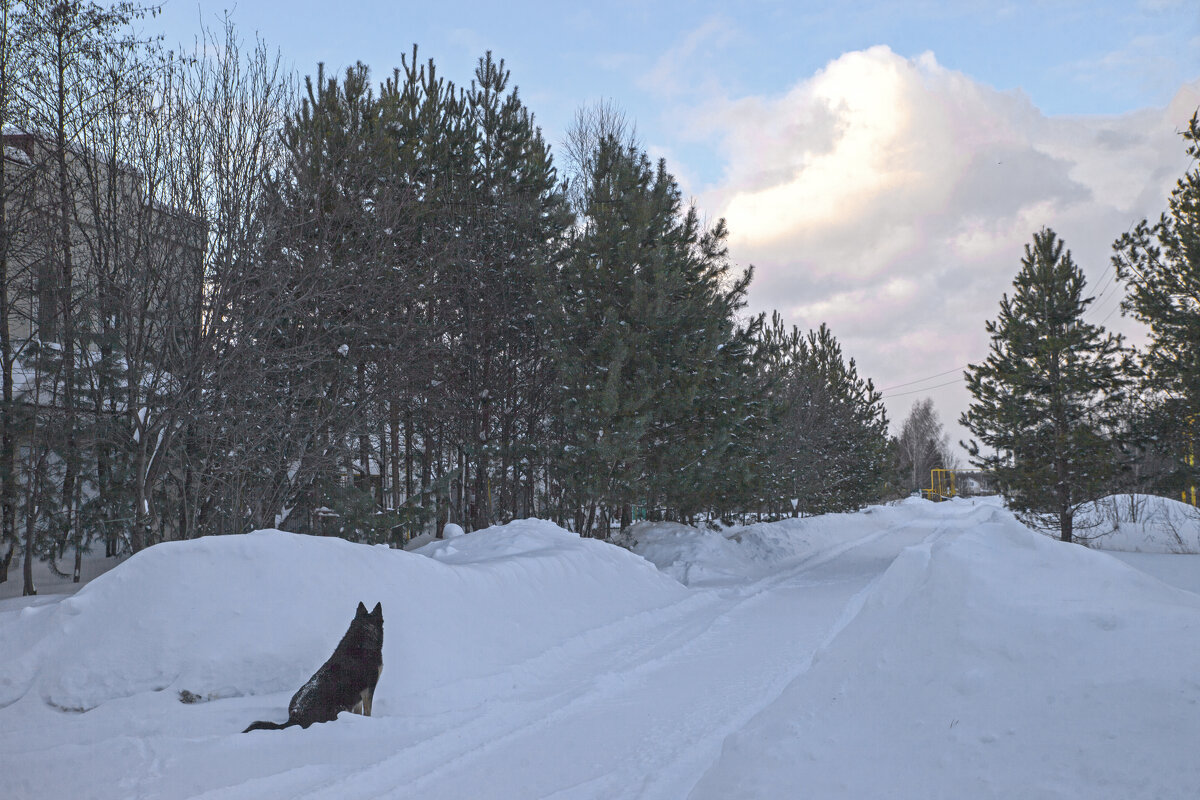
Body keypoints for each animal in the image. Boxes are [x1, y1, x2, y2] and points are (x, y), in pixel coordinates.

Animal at [246, 599, 386, 734]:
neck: (363, 637)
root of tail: (294, 718)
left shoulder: (359, 695)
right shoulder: (369, 689)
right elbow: (367, 712)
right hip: (340, 707)